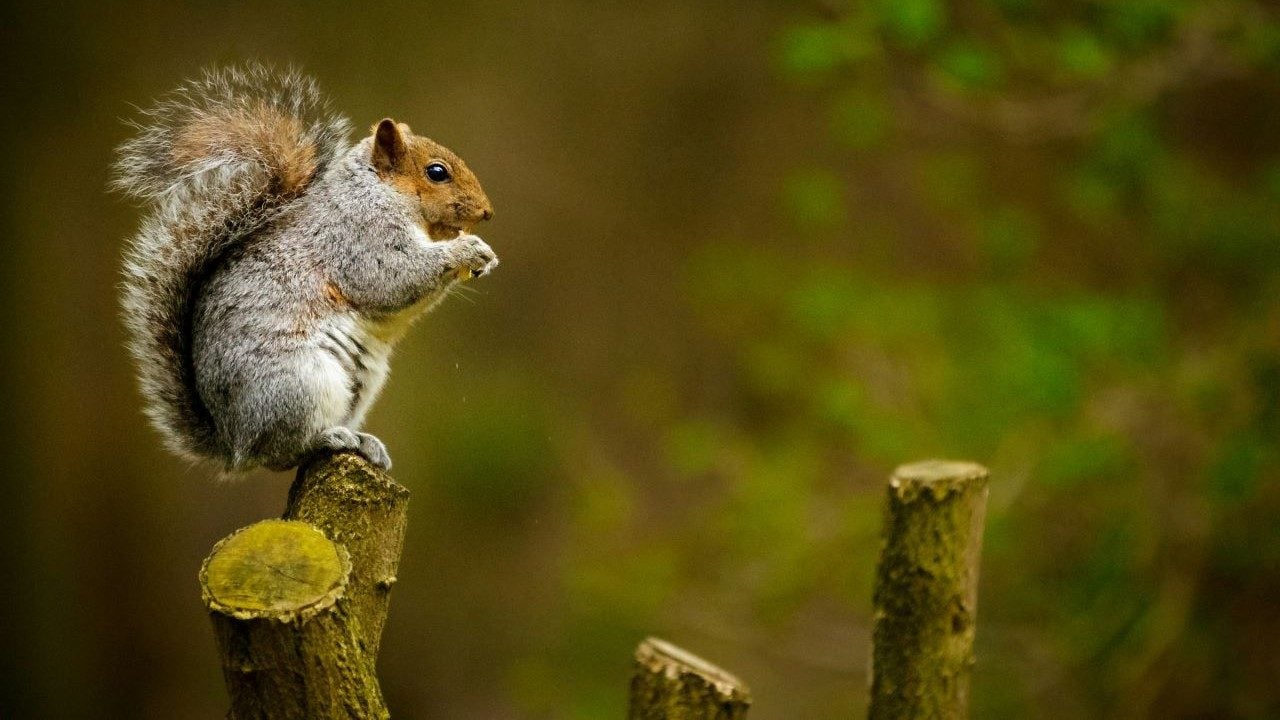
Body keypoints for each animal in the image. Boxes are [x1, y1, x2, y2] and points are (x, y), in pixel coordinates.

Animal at [113, 64, 497, 473]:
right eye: (436, 172)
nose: (487, 212)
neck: (378, 191)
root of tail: (233, 442)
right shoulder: (360, 239)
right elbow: (393, 278)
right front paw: (467, 249)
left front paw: (483, 256)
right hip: (302, 383)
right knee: (282, 452)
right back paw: (329, 438)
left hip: (359, 386)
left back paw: (364, 442)